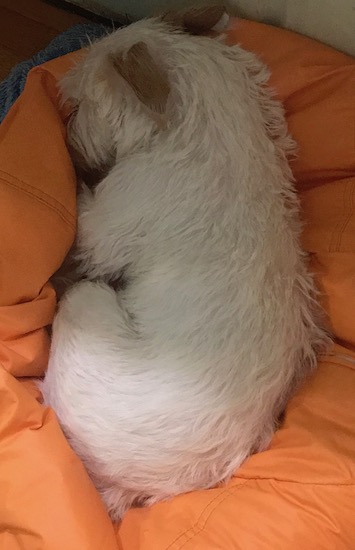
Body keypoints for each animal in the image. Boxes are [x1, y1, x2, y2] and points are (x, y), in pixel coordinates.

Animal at [42, 4, 330, 520]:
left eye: (80, 104)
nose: (70, 140)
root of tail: (132, 485)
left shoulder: (103, 225)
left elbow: (83, 216)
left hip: (88, 303)